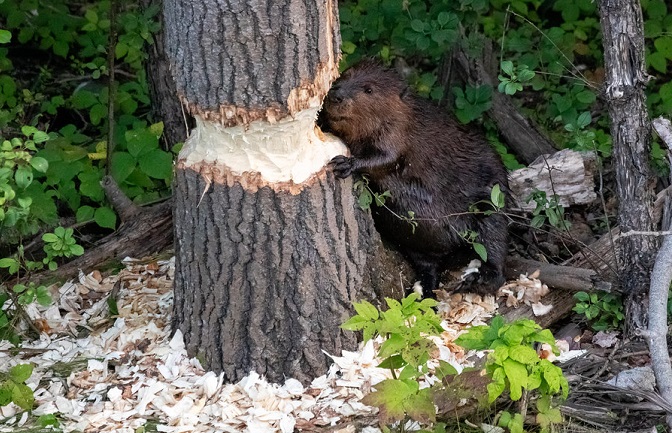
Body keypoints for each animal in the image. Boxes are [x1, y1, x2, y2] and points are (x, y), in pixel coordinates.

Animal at [320, 60, 510, 296]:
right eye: (346, 74)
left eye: (369, 90)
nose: (336, 94)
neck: (405, 114)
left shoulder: (398, 132)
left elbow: (386, 158)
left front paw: (345, 163)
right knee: (427, 263)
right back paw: (423, 289)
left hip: (492, 206)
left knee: (495, 252)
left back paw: (472, 279)